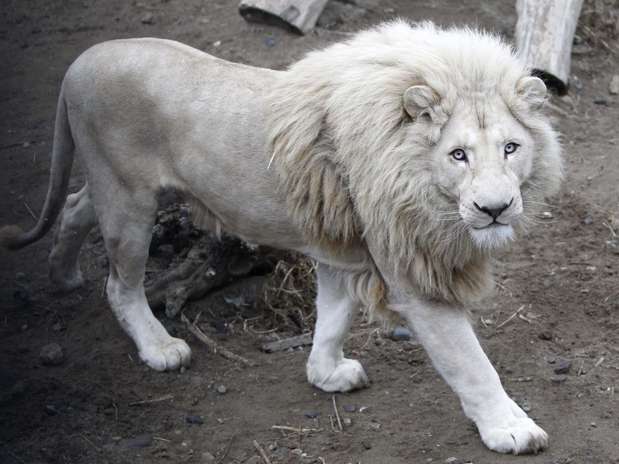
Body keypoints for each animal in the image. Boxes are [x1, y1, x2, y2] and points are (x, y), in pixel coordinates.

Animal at [0, 20, 560, 454]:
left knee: (74, 207)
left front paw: (325, 373)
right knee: (119, 283)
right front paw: (511, 429)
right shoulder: (412, 273)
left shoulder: (341, 247)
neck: (418, 176)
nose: (494, 209)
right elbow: (471, 362)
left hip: (114, 189)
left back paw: (63, 272)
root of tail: (83, 59)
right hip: (128, 201)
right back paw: (159, 346)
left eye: (511, 148)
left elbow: (333, 316)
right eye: (458, 155)